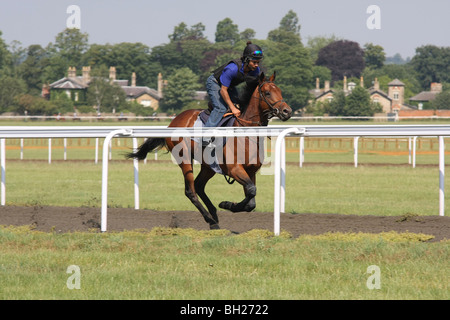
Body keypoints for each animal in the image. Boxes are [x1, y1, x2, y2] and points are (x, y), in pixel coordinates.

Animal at [125, 72, 292, 230]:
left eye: (280, 91)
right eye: (267, 93)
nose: (287, 111)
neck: (245, 133)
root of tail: (173, 122)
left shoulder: (251, 171)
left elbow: (251, 200)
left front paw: (228, 205)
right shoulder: (234, 169)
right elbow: (251, 190)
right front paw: (227, 204)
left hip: (208, 166)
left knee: (199, 185)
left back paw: (213, 215)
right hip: (185, 159)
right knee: (191, 191)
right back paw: (211, 220)